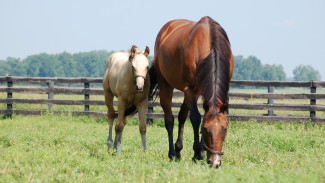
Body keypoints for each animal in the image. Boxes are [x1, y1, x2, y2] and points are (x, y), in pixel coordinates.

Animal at [152, 16, 233, 168]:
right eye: (205, 129)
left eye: (225, 129)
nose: (215, 162)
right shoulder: (190, 89)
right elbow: (196, 118)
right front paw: (197, 153)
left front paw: (201, 151)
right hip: (167, 85)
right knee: (169, 119)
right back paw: (172, 153)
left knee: (182, 115)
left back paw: (178, 150)